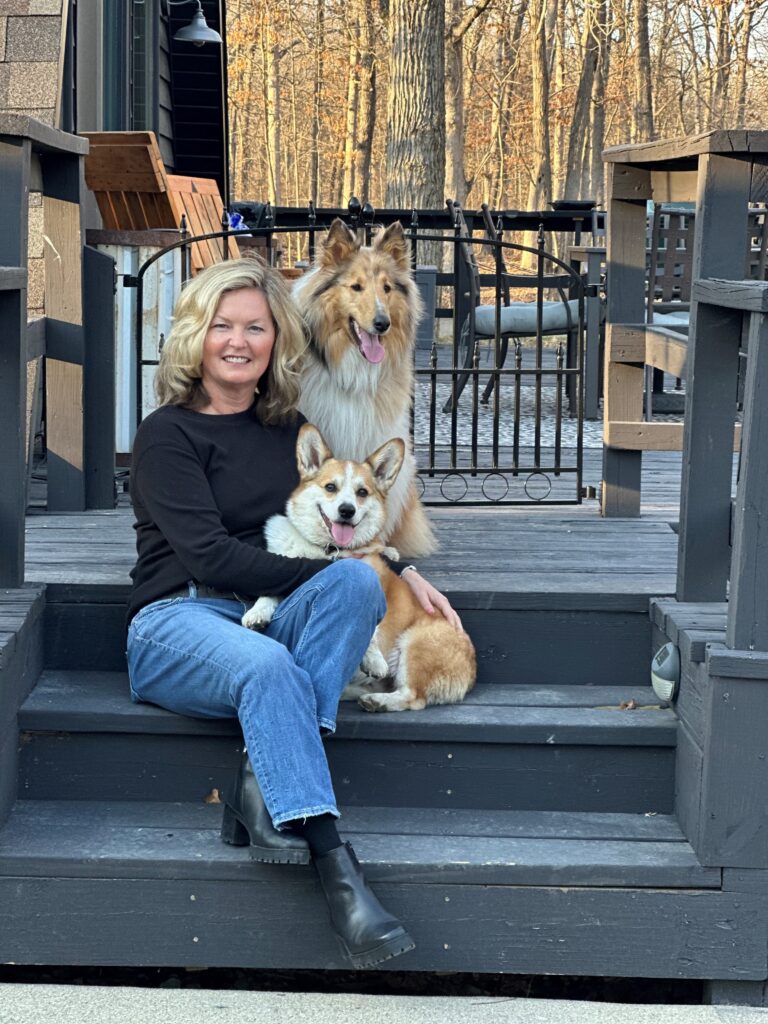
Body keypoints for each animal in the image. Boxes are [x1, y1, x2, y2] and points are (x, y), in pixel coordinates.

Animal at [243, 423, 479, 712]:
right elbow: (269, 592)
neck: (328, 549)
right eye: (330, 487)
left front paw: (374, 658)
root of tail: (471, 668)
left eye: (362, 492)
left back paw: (377, 701)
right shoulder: (283, 566)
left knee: (413, 697)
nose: (347, 511)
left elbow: (370, 632)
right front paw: (257, 613)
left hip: (415, 645)